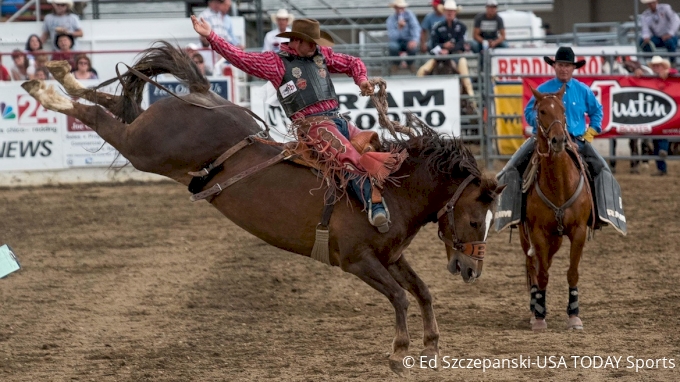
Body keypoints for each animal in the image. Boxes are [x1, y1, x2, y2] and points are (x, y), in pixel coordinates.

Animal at [21, 42, 504, 376]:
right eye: (475, 219)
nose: (472, 271)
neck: (391, 187)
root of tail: (202, 95)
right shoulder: (357, 261)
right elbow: (401, 297)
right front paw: (399, 353)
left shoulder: (392, 257)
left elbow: (421, 291)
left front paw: (432, 345)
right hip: (147, 149)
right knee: (101, 118)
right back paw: (47, 90)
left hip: (148, 137)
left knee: (117, 105)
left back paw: (59, 76)